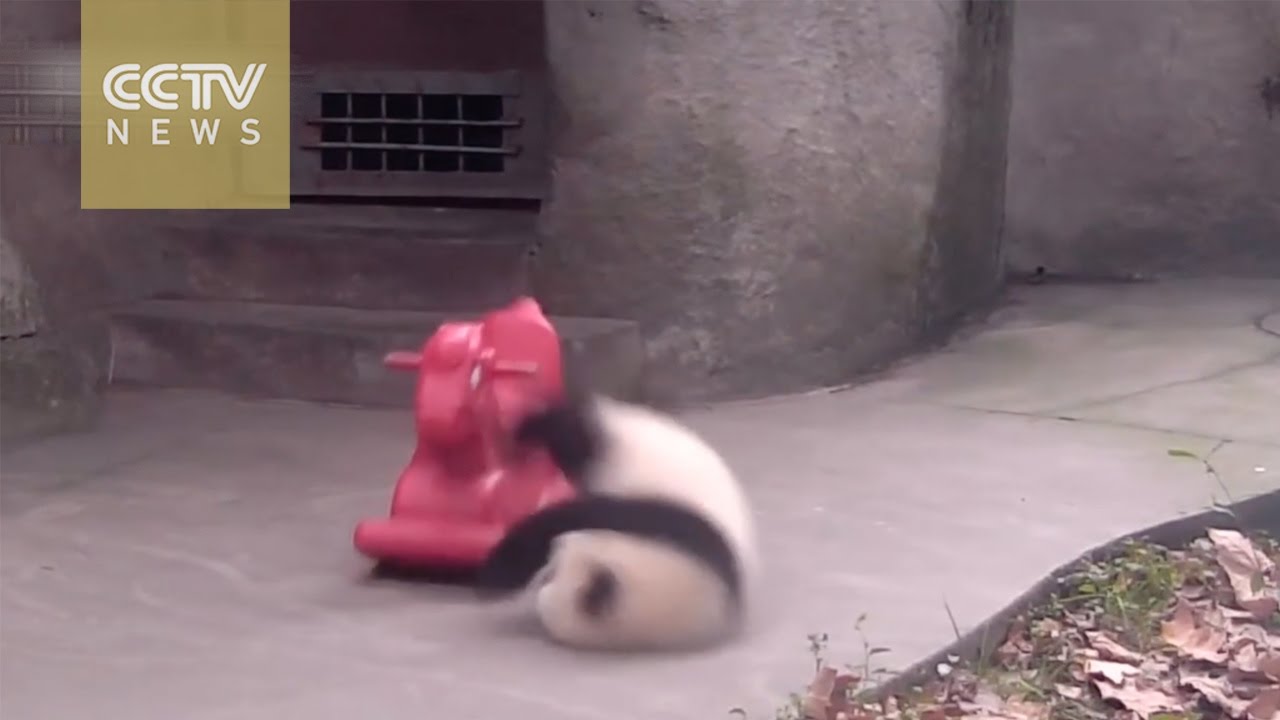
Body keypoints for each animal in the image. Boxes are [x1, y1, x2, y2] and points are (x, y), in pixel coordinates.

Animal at [474, 390, 758, 652]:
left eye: (553, 578)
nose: (552, 557)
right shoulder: (662, 519)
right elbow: (576, 515)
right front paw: (500, 570)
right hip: (623, 443)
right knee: (574, 435)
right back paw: (528, 428)